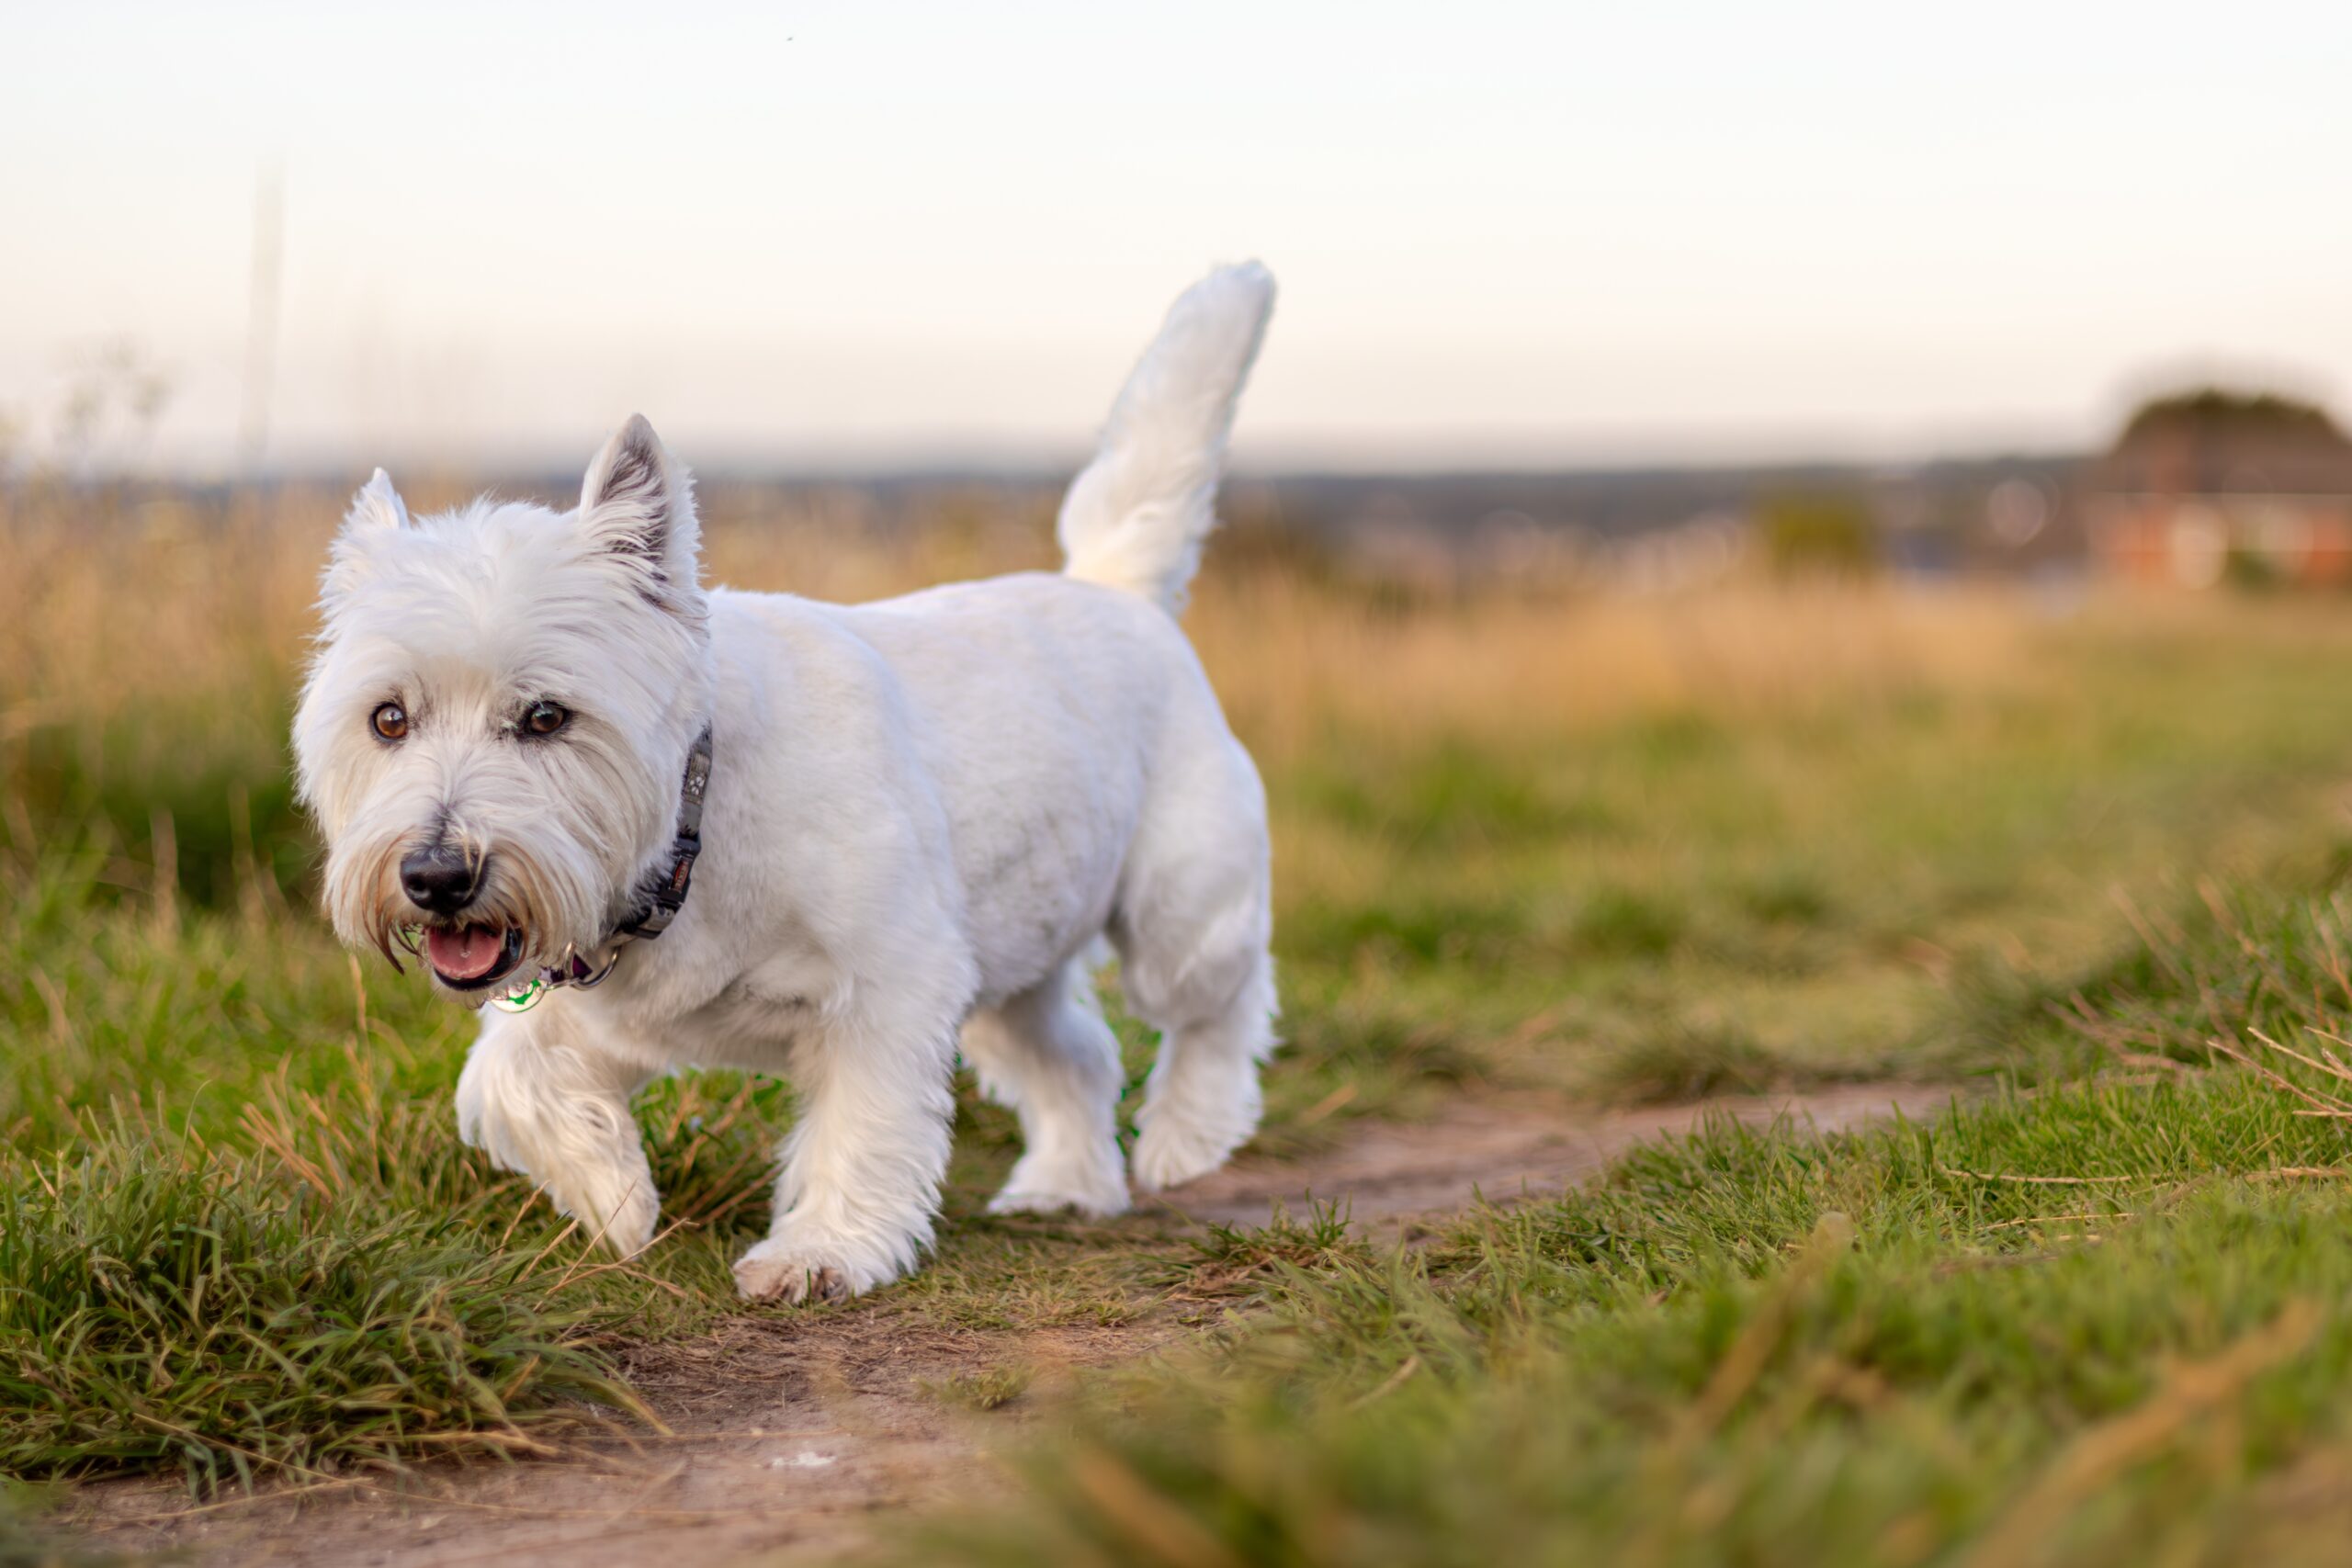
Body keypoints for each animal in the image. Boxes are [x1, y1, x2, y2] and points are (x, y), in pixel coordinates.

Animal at [299, 266, 1288, 1297]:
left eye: (545, 717)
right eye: (388, 719)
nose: (435, 877)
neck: (691, 835)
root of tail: (1115, 587)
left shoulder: (889, 984)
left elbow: (860, 1125)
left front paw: (819, 1252)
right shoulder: (590, 1012)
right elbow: (507, 1082)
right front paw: (618, 1201)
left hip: (1176, 912)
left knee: (1222, 1001)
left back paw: (1187, 1136)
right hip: (1010, 958)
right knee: (1077, 1057)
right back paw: (1064, 1183)